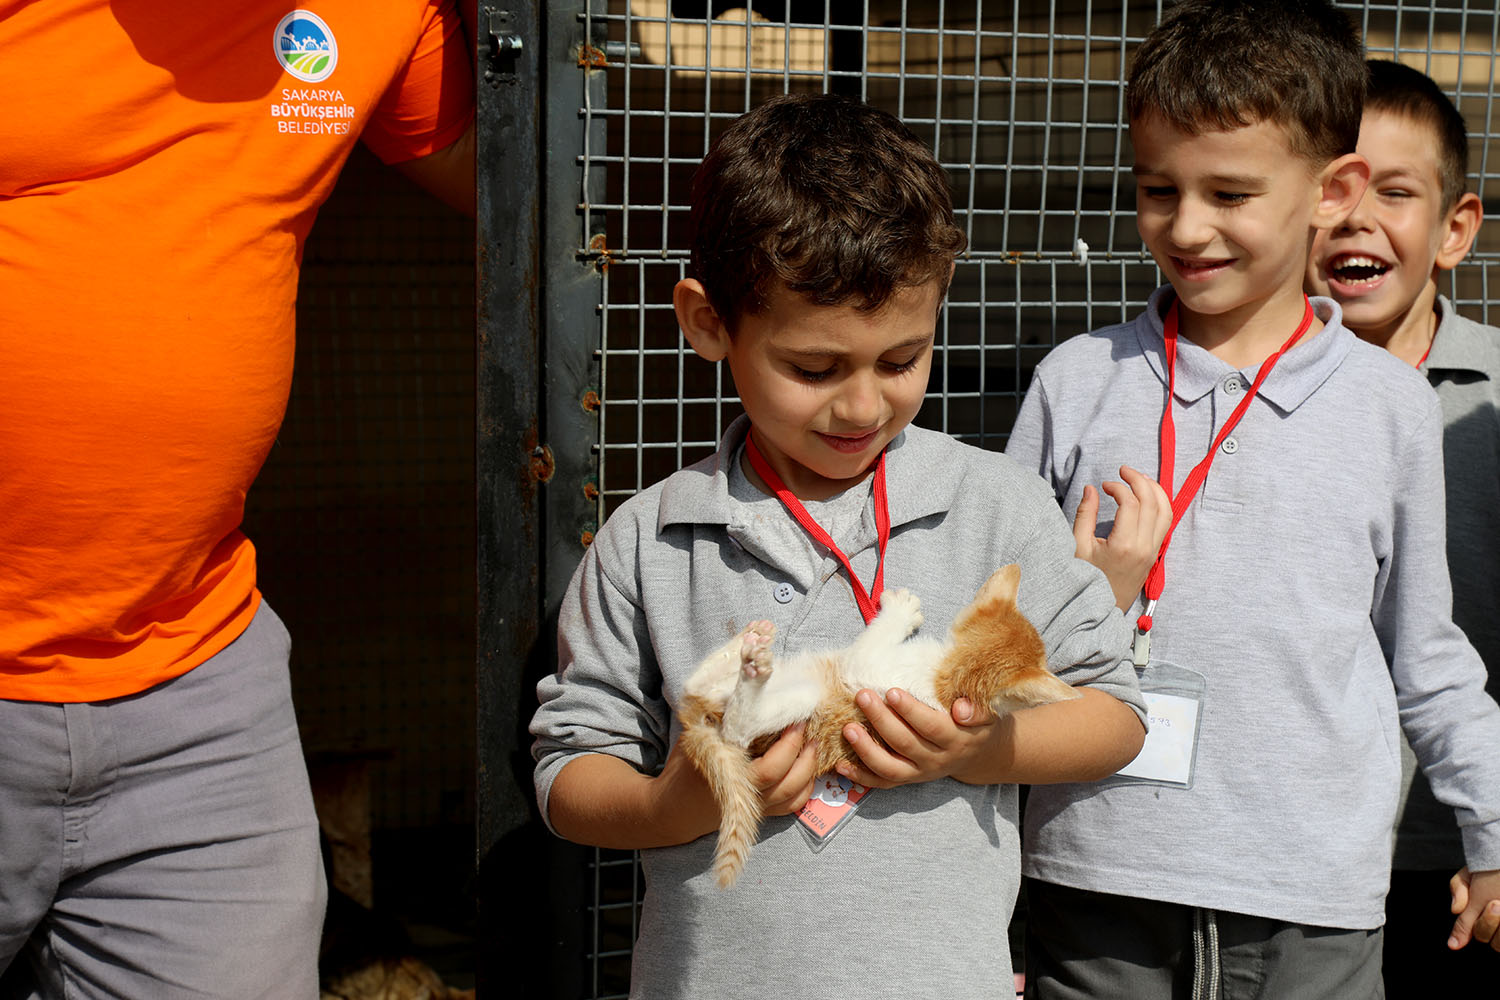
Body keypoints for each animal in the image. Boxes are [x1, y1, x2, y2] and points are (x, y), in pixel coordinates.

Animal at [681, 566, 1080, 887]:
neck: (951, 672)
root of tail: (697, 723)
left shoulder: (866, 668)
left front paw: (899, 612)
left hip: (792, 706)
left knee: (736, 725)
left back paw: (752, 665)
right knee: (694, 689)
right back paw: (745, 643)